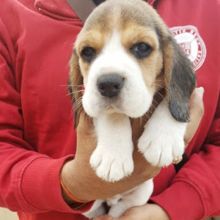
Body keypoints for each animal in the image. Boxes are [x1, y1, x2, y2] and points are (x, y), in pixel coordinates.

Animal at [68, 0, 194, 217]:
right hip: (90, 205)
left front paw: (163, 140)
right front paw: (113, 157)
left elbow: (169, 98)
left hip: (143, 191)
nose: (108, 84)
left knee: (120, 209)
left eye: (142, 47)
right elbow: (112, 115)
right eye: (87, 52)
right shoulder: (88, 101)